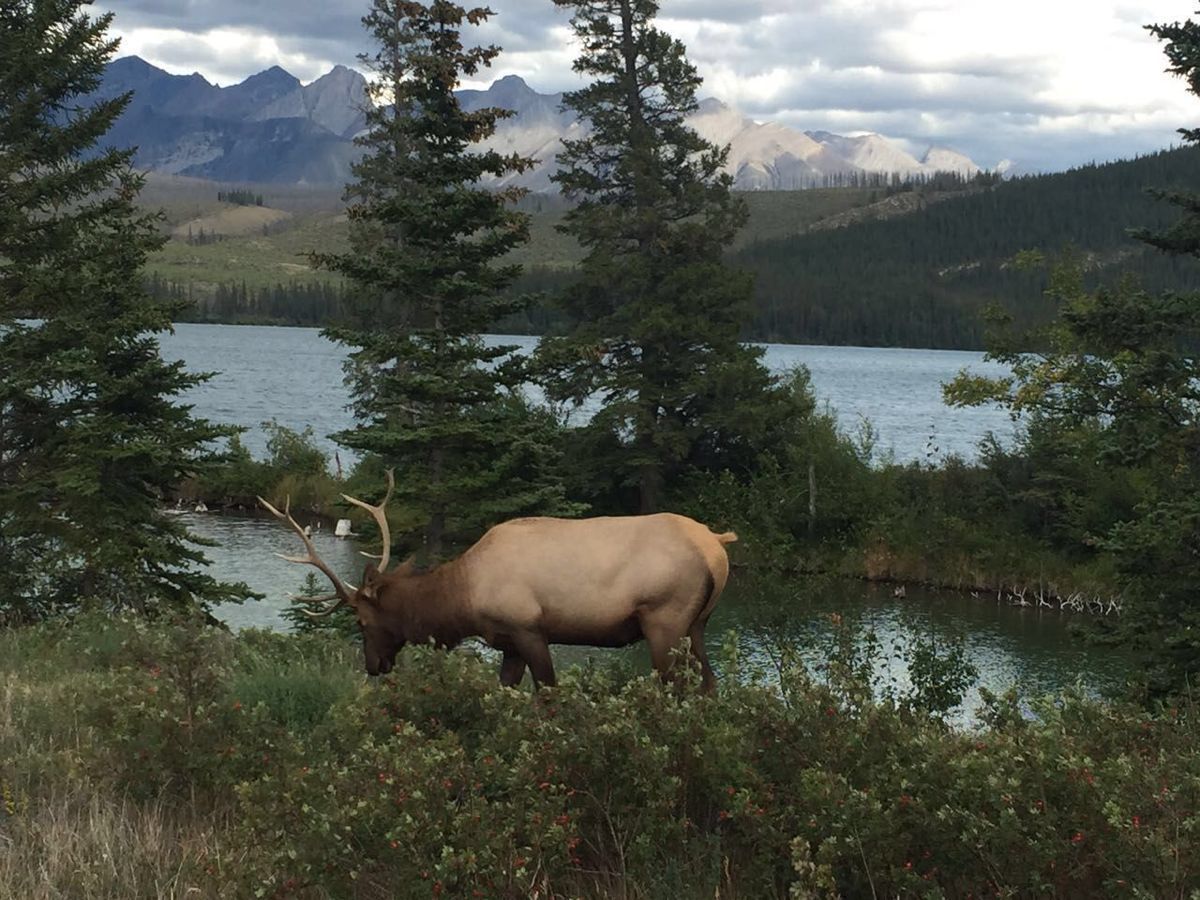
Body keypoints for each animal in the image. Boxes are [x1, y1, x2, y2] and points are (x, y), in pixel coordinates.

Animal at [258, 475, 734, 696]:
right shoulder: (507, 642)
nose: (374, 666)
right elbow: (503, 691)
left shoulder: (529, 628)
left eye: (360, 619)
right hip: (698, 625)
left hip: (664, 622)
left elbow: (548, 694)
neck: (463, 599)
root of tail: (717, 545)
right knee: (711, 686)